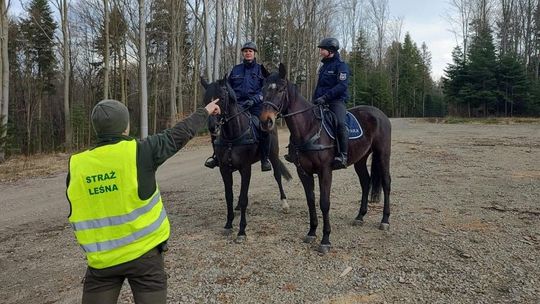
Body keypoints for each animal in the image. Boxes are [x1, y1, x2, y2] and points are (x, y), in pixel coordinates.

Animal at [200, 76, 292, 242]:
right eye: (205, 100)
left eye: (221, 98)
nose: (213, 127)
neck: (232, 137)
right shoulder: (225, 169)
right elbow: (229, 196)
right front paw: (228, 224)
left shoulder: (245, 168)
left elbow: (244, 198)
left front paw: (241, 231)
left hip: (273, 156)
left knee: (277, 177)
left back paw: (284, 204)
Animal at [260, 64, 390, 254]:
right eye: (262, 90)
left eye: (281, 89)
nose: (265, 121)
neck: (309, 128)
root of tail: (380, 113)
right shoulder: (303, 172)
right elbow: (311, 201)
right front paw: (312, 232)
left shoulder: (325, 171)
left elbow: (324, 202)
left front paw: (325, 239)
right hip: (360, 159)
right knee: (365, 182)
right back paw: (360, 217)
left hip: (383, 154)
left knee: (386, 183)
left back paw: (385, 220)